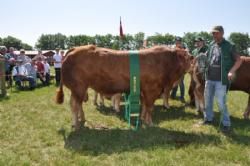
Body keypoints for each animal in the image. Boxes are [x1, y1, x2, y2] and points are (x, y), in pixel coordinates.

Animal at [55, 45, 191, 130]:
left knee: (77, 105)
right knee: (74, 105)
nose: (193, 65)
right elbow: (149, 107)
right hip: (78, 87)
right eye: (190, 57)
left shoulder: (144, 90)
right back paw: (76, 124)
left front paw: (143, 119)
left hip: (78, 89)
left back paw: (81, 119)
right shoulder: (152, 89)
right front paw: (150, 123)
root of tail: (74, 48)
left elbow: (145, 106)